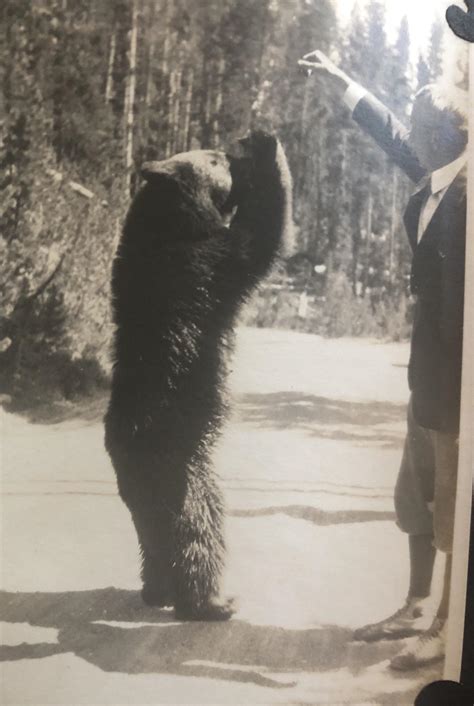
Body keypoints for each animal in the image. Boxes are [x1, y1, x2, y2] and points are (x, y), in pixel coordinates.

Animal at [104, 131, 292, 621]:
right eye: (212, 158)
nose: (230, 150)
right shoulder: (206, 262)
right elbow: (258, 237)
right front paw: (268, 150)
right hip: (184, 466)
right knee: (201, 530)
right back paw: (213, 601)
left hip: (149, 490)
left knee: (153, 540)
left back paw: (156, 591)